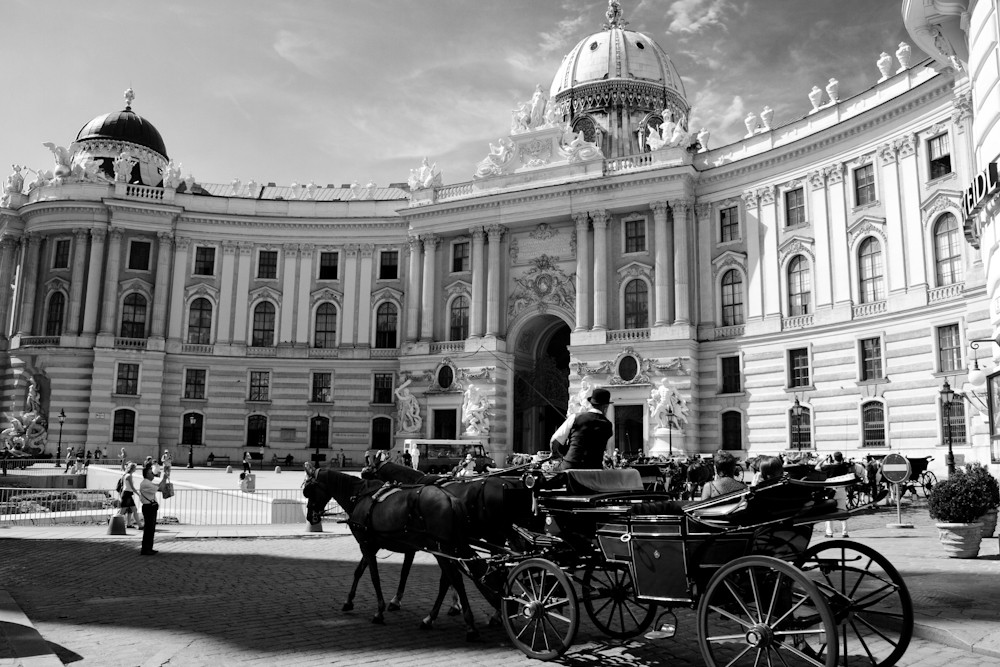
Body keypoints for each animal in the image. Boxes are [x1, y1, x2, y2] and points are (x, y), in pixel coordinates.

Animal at [302, 468, 482, 640]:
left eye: (309, 490)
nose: (310, 517)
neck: (360, 496)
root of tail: (450, 498)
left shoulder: (366, 545)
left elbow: (374, 576)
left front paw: (379, 611)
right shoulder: (371, 545)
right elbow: (359, 571)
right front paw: (349, 601)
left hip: (441, 548)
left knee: (455, 579)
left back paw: (468, 625)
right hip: (447, 549)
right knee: (449, 579)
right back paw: (431, 618)